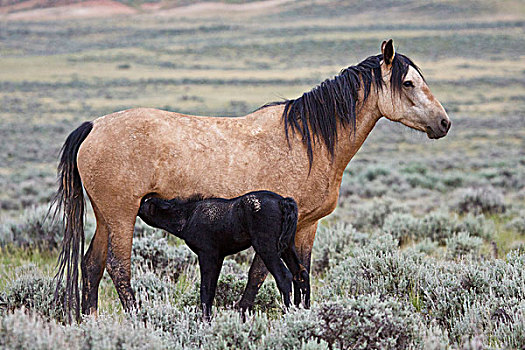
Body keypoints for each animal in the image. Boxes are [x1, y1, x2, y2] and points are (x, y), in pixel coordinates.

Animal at [138, 190, 308, 318]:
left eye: (144, 203)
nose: (137, 208)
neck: (188, 215)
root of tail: (283, 201)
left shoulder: (207, 254)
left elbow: (205, 290)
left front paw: (205, 321)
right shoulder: (218, 257)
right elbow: (211, 289)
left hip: (267, 248)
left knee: (284, 276)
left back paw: (288, 313)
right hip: (287, 246)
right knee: (301, 274)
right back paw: (303, 310)